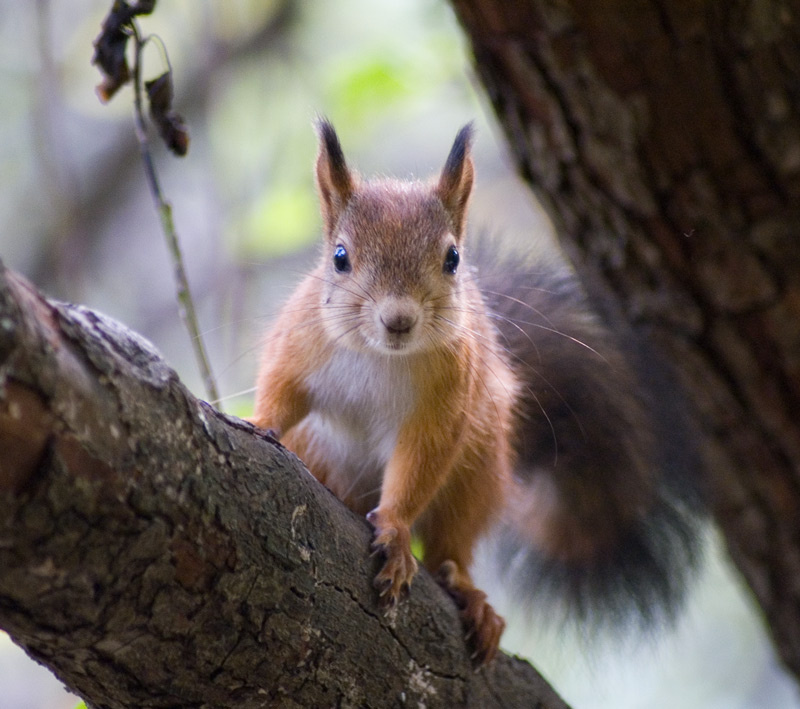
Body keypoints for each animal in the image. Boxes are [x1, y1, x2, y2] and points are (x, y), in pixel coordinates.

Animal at [250, 120, 705, 665]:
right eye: (339, 258)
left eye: (453, 258)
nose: (398, 320)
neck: (382, 357)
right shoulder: (299, 346)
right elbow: (282, 394)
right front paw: (257, 423)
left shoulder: (447, 402)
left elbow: (420, 461)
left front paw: (396, 531)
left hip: (477, 473)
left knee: (452, 546)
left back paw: (469, 593)